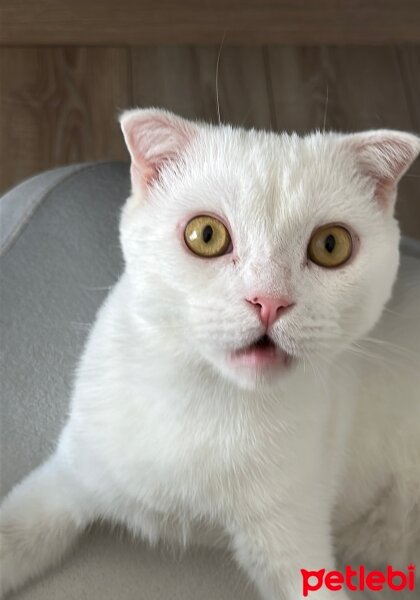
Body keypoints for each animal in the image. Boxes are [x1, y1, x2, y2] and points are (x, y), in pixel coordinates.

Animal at [0, 109, 420, 600]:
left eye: (331, 245)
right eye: (205, 235)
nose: (269, 301)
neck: (212, 401)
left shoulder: (293, 536)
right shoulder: (71, 475)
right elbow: (16, 532)